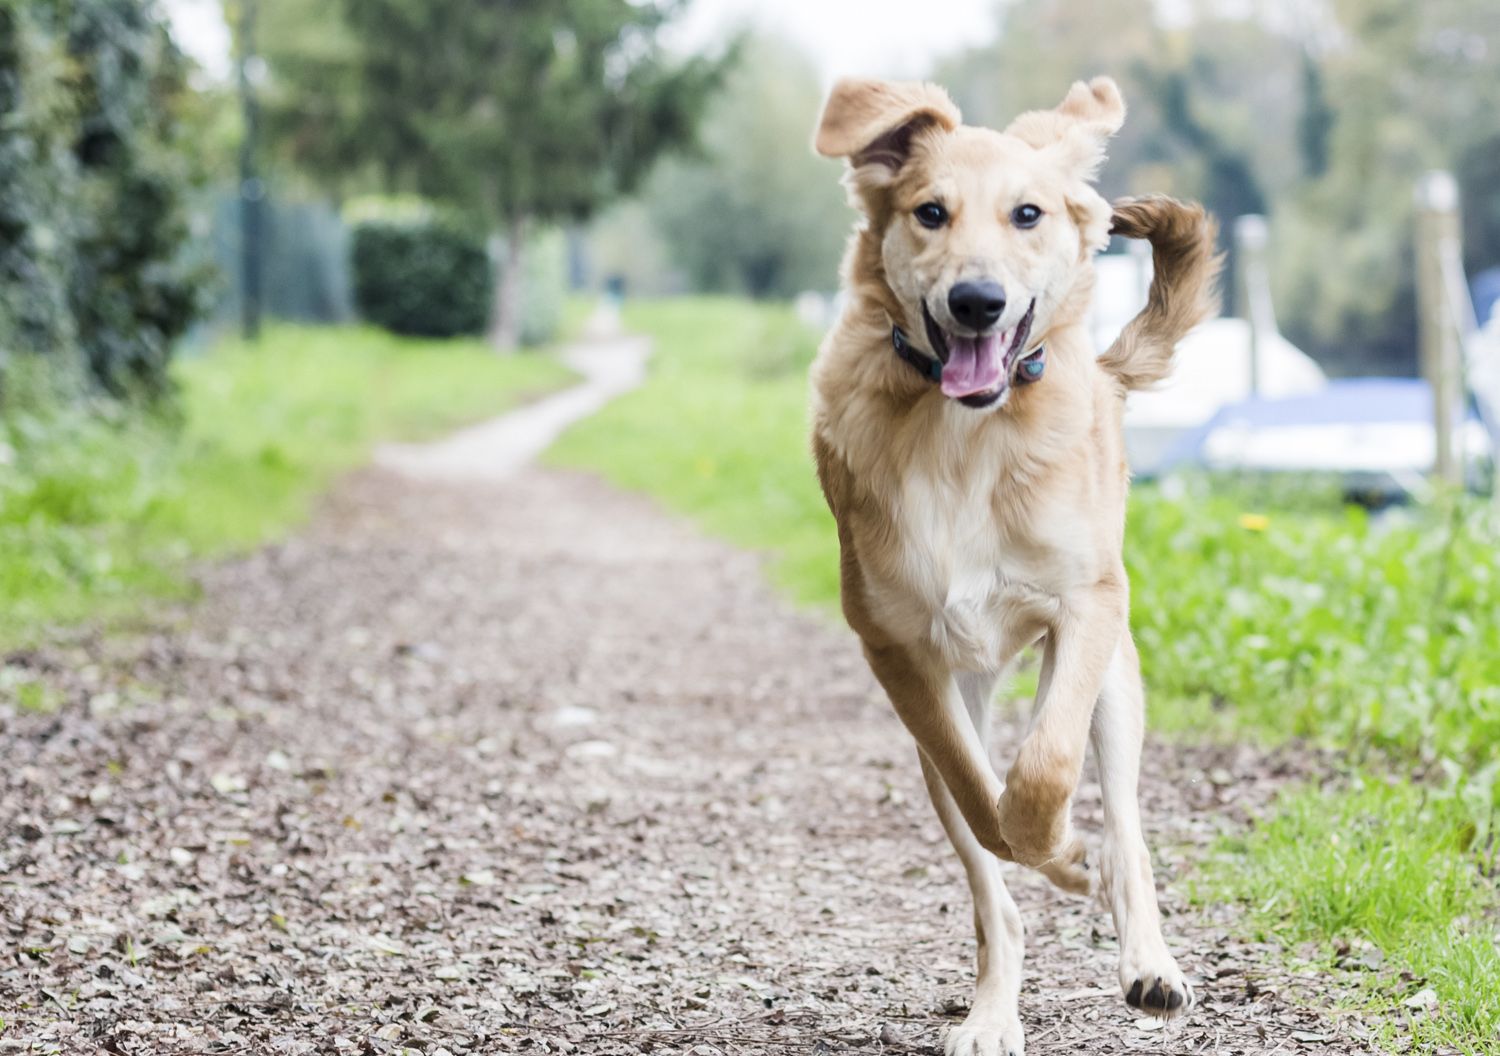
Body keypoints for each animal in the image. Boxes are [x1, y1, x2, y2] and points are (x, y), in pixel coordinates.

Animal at [810, 76, 1218, 1056]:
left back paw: (1144, 952)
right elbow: (985, 797)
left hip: (1115, 676)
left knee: (1120, 820)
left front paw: (1072, 852)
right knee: (994, 884)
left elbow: (1043, 770)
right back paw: (997, 1004)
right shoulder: (900, 653)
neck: (965, 435)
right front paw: (1059, 858)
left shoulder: (1087, 608)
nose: (977, 301)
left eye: (1027, 213)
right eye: (930, 212)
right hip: (950, 708)